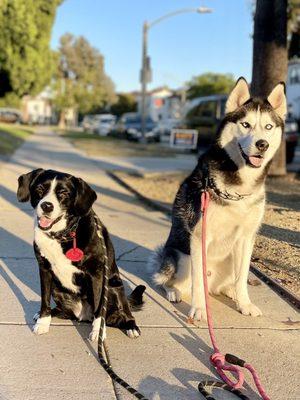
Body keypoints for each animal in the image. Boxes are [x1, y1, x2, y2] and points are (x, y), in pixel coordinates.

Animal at [17, 167, 145, 340]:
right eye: (40, 189)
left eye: (64, 193)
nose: (47, 206)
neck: (63, 235)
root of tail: (83, 315)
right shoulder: (44, 269)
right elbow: (44, 299)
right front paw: (43, 322)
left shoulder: (96, 274)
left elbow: (99, 307)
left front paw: (98, 332)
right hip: (57, 289)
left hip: (114, 287)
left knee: (124, 312)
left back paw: (131, 326)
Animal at [150, 77, 286, 322]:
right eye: (246, 125)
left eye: (269, 127)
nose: (262, 144)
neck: (238, 186)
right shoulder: (199, 236)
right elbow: (197, 283)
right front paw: (199, 309)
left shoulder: (246, 238)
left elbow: (242, 279)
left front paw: (244, 303)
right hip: (180, 256)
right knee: (170, 280)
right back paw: (174, 292)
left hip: (230, 261)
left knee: (228, 282)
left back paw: (230, 292)